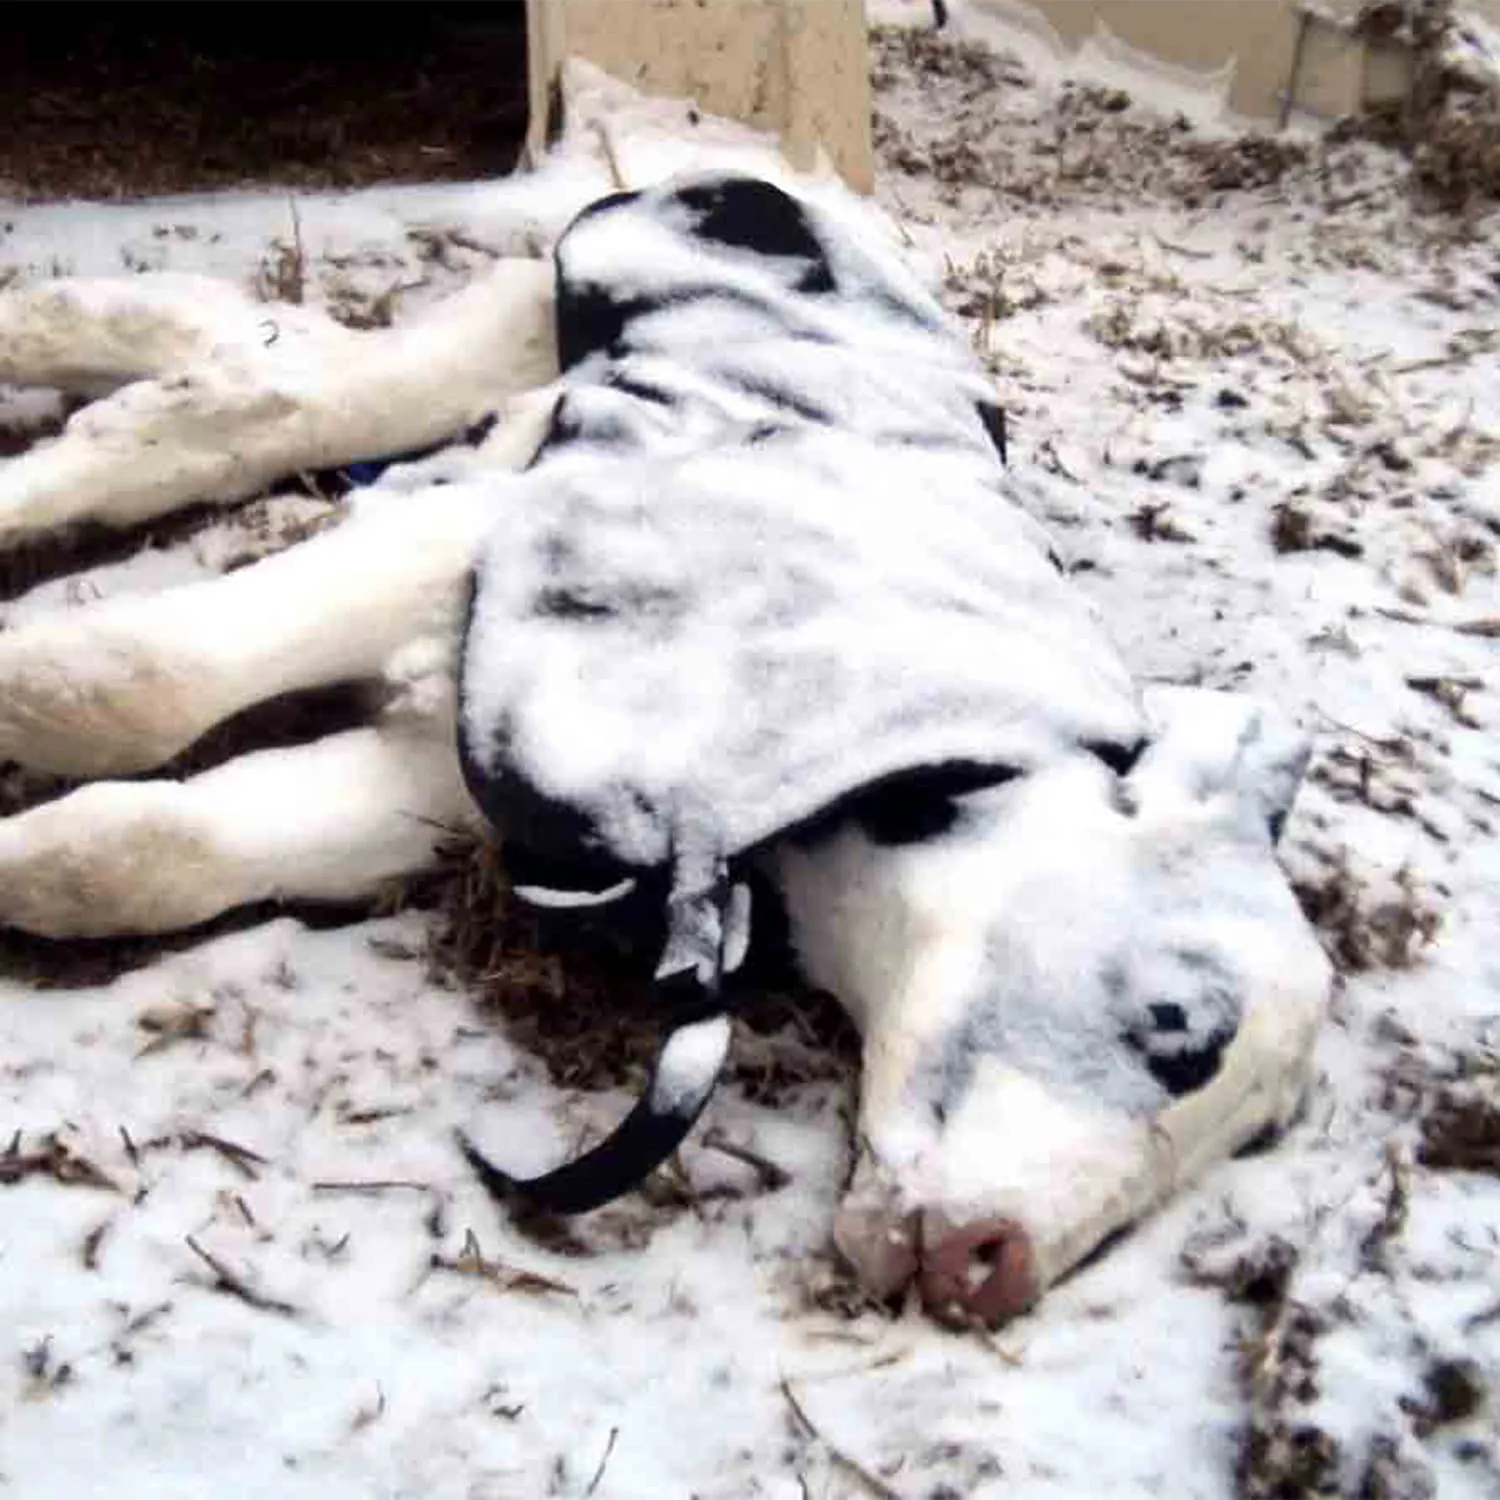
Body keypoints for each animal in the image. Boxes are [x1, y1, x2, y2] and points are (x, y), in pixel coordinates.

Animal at [0, 172, 1330, 1327]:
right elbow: (129, 681)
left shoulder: (461, 772)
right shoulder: (506, 538)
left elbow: (139, 848)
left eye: (1254, 1140)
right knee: (257, 404)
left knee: (243, 360)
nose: (992, 1269)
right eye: (1180, 1023)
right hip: (528, 309)